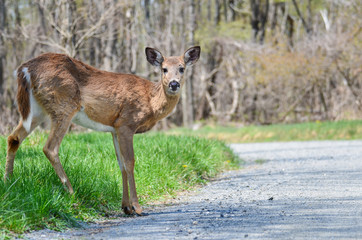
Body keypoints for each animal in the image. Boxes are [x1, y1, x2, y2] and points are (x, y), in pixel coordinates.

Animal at [3, 46, 201, 215]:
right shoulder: (126, 123)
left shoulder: (115, 128)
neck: (151, 101)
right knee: (49, 147)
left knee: (14, 138)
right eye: (164, 69)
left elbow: (121, 164)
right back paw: (72, 193)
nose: (174, 84)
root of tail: (25, 69)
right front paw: (137, 207)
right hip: (64, 105)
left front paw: (126, 207)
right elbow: (130, 162)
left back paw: (8, 182)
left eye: (182, 68)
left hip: (38, 110)